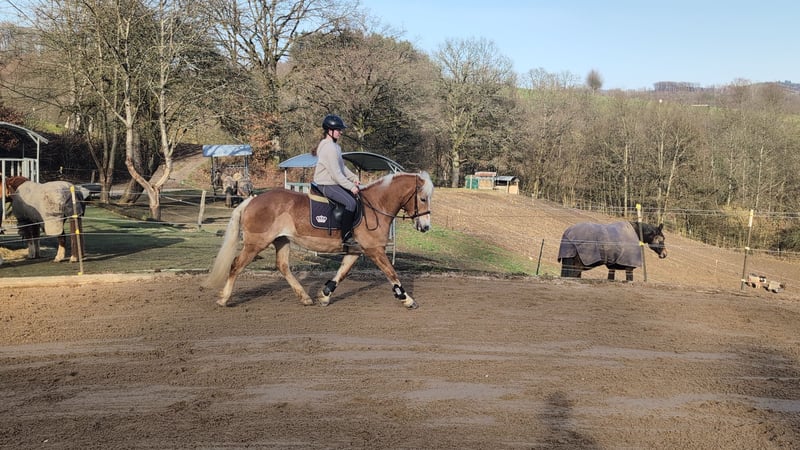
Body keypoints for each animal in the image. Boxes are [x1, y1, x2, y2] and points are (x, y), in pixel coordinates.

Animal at [204, 172, 434, 309]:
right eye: (423, 198)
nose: (425, 227)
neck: (375, 206)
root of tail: (252, 200)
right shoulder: (374, 250)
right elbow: (391, 273)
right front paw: (406, 298)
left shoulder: (355, 250)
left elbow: (342, 273)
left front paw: (325, 294)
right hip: (255, 244)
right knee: (236, 265)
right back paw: (224, 298)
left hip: (282, 240)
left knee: (283, 266)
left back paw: (305, 297)